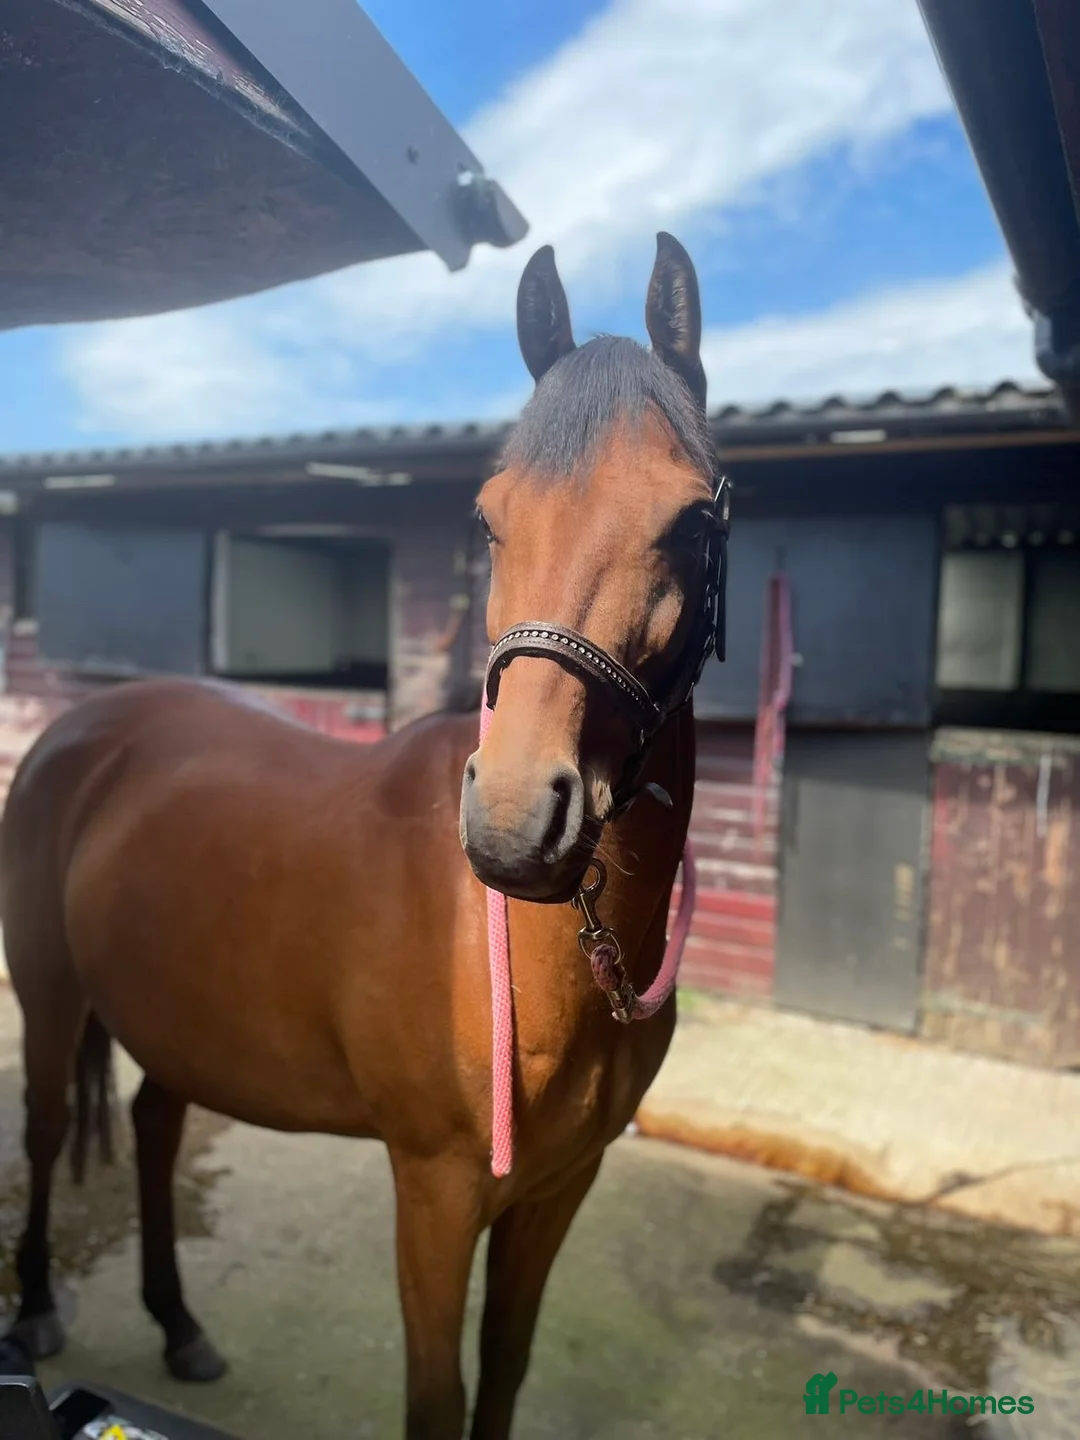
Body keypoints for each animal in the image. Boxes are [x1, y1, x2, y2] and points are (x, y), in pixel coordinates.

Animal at [0, 232, 729, 1440]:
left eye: (695, 523)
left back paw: (181, 1326)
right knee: (51, 1127)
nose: (518, 823)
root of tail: (82, 729)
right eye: (489, 518)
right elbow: (438, 1399)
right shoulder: (435, 1191)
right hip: (52, 997)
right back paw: (42, 1312)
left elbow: (506, 1369)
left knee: (153, 1127)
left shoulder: (556, 1192)